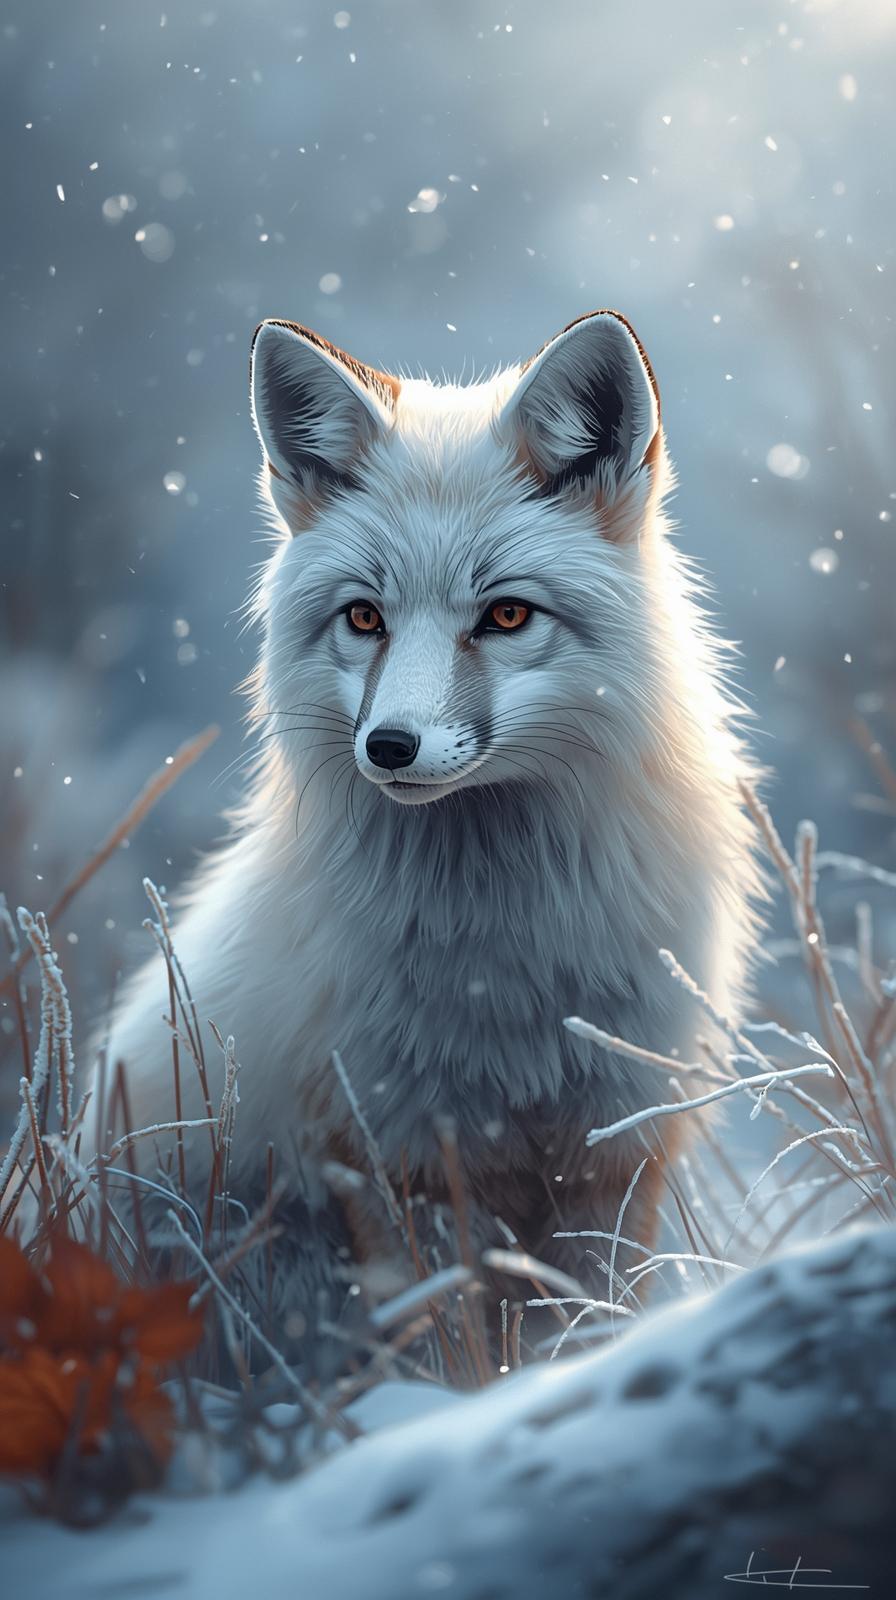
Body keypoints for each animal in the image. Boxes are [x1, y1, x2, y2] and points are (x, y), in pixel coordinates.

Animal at [91, 309, 762, 1327]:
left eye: (507, 616)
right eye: (364, 618)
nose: (390, 747)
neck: (505, 969)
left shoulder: (620, 1138)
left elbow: (594, 1317)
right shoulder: (393, 1147)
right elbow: (447, 1335)